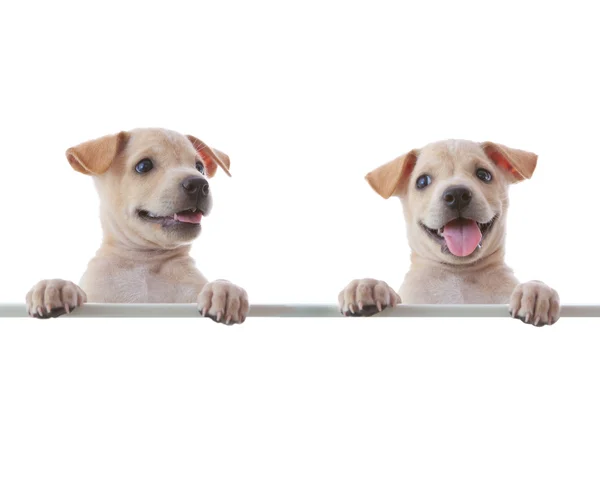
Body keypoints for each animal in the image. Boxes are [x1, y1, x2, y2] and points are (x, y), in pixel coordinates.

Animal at [25, 126, 248, 324]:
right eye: (144, 166)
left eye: (200, 167)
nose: (199, 184)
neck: (145, 263)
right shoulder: (99, 297)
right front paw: (55, 286)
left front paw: (225, 290)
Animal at [340, 140, 560, 326]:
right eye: (422, 181)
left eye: (484, 175)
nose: (457, 195)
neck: (458, 275)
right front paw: (369, 286)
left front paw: (537, 291)